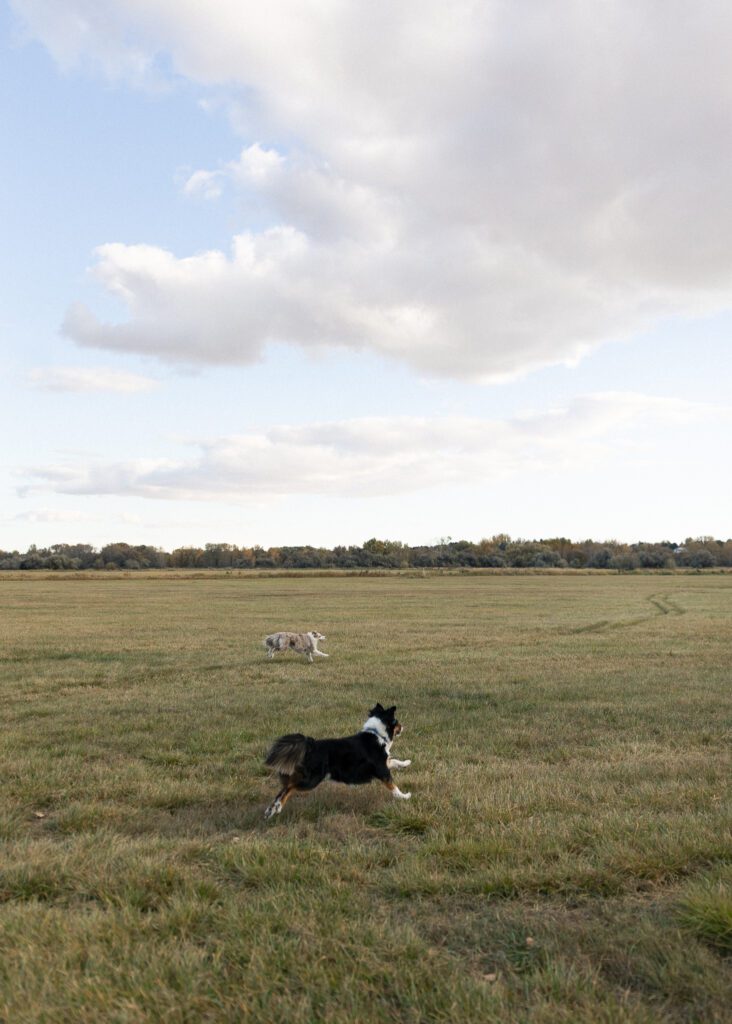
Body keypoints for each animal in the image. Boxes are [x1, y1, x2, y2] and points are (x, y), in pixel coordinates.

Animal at [264, 700, 411, 819]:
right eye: (396, 722)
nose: (403, 726)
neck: (377, 734)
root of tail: (311, 744)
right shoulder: (382, 770)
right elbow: (393, 786)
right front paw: (404, 796)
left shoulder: (383, 764)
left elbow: (394, 761)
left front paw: (406, 763)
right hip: (312, 779)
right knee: (289, 788)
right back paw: (277, 807)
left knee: (284, 789)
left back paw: (271, 810)